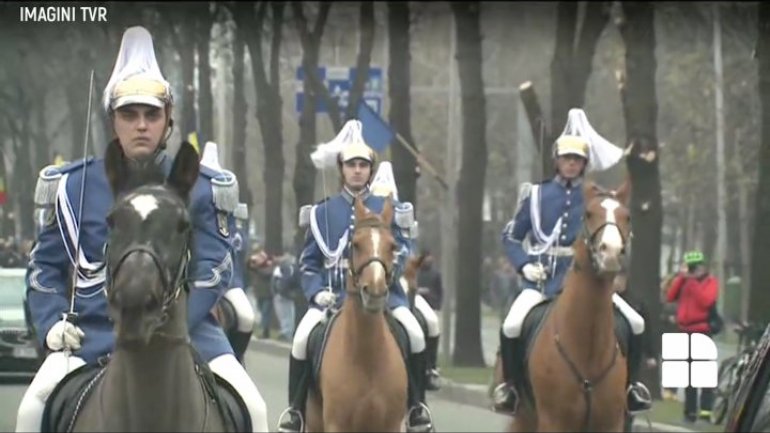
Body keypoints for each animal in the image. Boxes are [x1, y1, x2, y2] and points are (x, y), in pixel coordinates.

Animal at [304, 197, 412, 430]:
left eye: (393, 246)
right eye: (356, 244)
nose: (375, 292)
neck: (366, 357)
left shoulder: (390, 425)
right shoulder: (336, 425)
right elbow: (309, 263)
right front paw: (324, 297)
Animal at [510, 177, 632, 430]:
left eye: (627, 217)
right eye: (589, 214)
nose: (611, 253)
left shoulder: (611, 423)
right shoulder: (553, 421)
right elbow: (512, 237)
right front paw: (532, 270)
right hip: (524, 416)